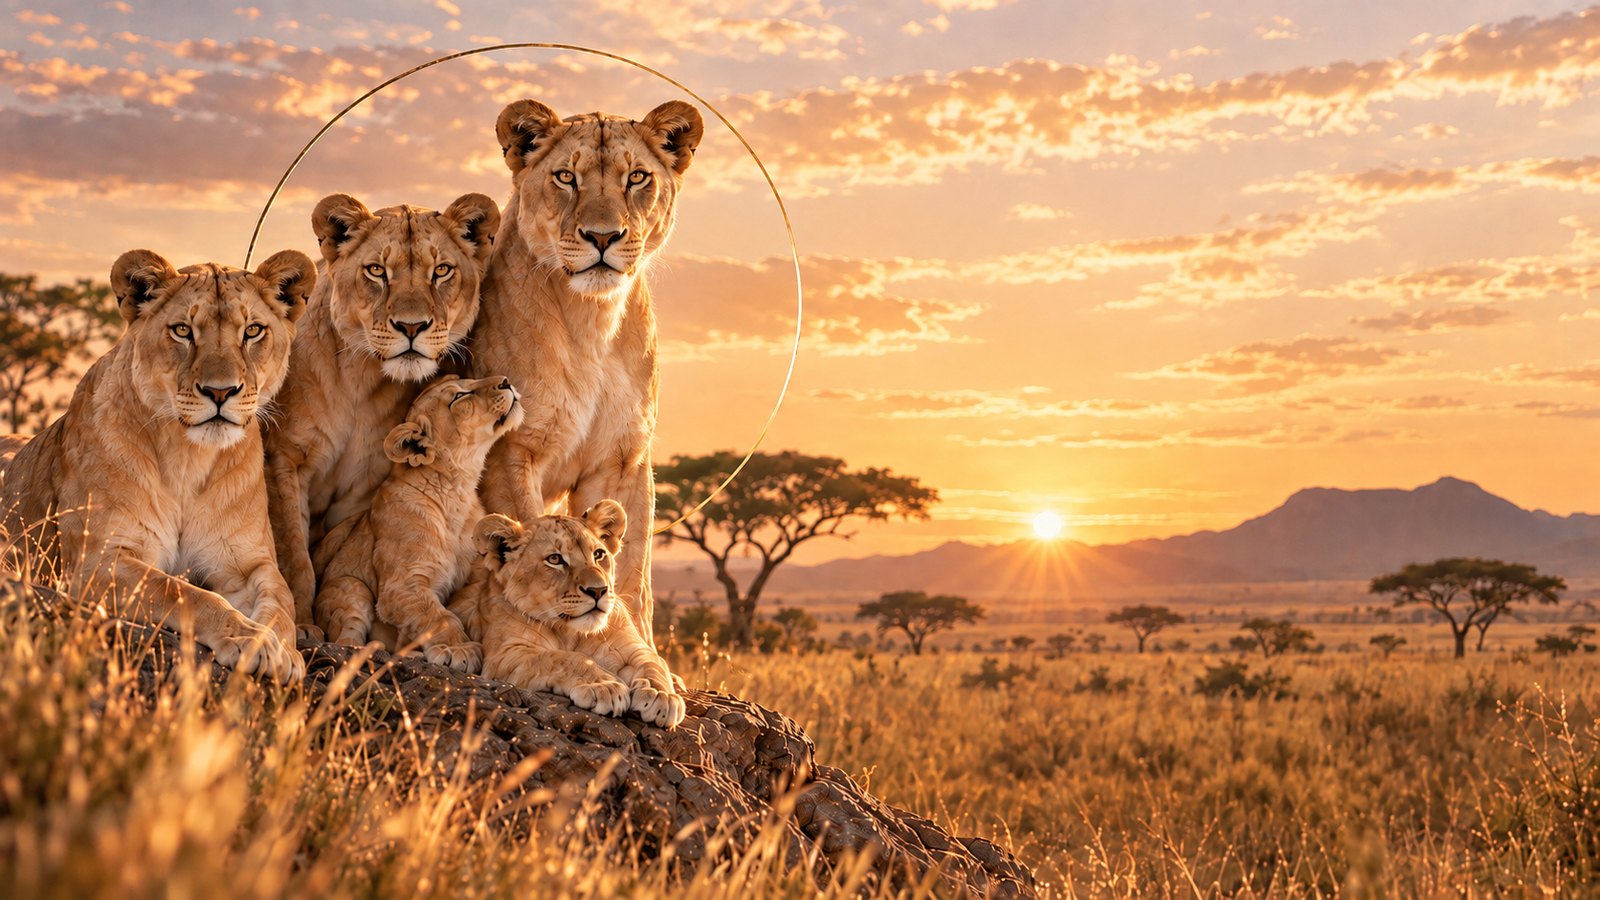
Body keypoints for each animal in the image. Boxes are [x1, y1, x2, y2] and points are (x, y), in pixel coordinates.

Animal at [0, 249, 316, 681]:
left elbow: (281, 604)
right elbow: (184, 593)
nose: (220, 392)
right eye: (183, 331)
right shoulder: (96, 562)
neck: (189, 458)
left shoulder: (248, 563)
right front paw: (247, 637)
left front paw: (281, 648)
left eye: (253, 331)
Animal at [263, 192, 500, 635]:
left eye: (441, 271)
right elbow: (291, 552)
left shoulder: (365, 486)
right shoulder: (282, 458)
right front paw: (301, 623)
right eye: (376, 271)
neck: (361, 379)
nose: (411, 326)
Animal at [311, 375, 523, 672]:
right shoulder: (402, 586)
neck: (456, 490)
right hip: (350, 587)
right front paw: (458, 650)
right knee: (345, 642)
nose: (506, 380)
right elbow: (439, 616)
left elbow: (463, 605)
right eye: (459, 396)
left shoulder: (476, 575)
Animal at [459, 502, 686, 728]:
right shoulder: (505, 654)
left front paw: (660, 695)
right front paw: (605, 685)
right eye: (555, 559)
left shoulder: (633, 647)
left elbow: (654, 664)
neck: (572, 633)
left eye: (598, 554)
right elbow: (564, 658)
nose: (598, 591)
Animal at [470, 99, 704, 647]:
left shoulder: (621, 459)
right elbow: (531, 544)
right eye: (565, 177)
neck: (592, 321)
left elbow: (632, 570)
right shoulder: (511, 453)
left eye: (637, 177)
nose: (602, 237)